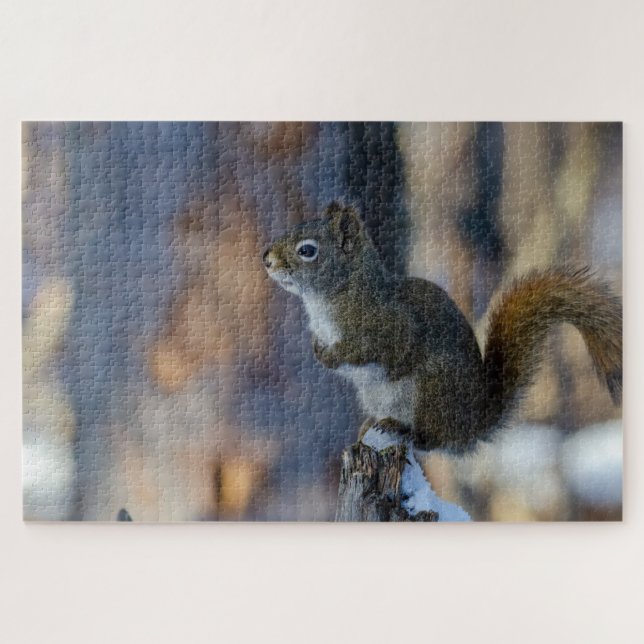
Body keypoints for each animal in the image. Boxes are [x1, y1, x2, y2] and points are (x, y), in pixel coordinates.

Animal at [262, 202, 622, 454]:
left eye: (307, 250)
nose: (266, 259)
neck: (335, 295)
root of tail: (475, 422)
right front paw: (318, 349)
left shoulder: (390, 326)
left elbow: (376, 349)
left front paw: (332, 356)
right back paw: (371, 425)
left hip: (432, 389)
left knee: (434, 440)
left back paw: (404, 430)